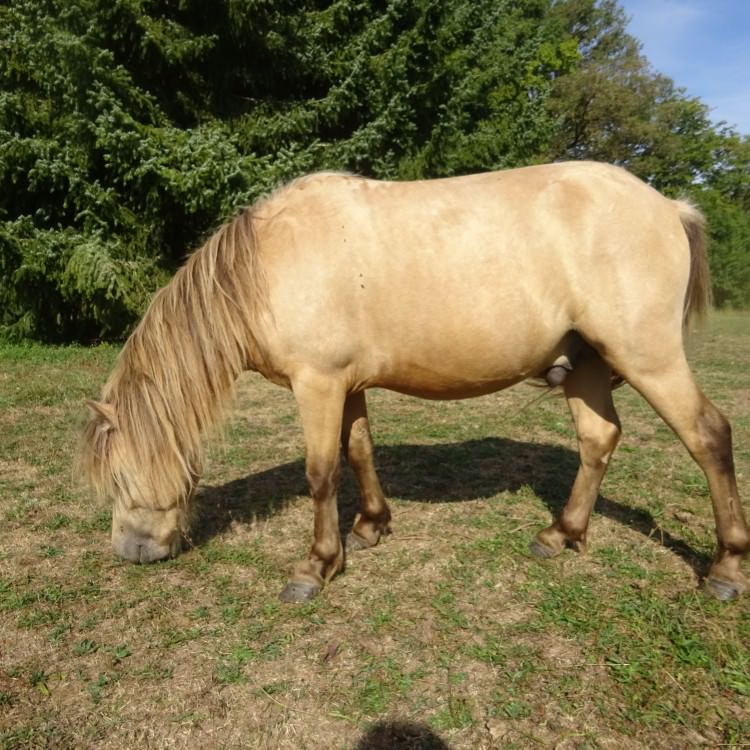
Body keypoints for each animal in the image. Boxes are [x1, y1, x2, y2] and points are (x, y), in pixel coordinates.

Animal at [79, 160, 748, 604]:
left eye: (121, 479)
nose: (131, 553)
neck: (266, 268)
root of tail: (669, 206)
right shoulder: (346, 385)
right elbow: (358, 451)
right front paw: (371, 528)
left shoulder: (317, 384)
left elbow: (320, 473)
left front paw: (316, 566)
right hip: (585, 364)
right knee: (598, 440)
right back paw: (561, 534)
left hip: (648, 358)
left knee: (710, 436)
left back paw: (725, 569)